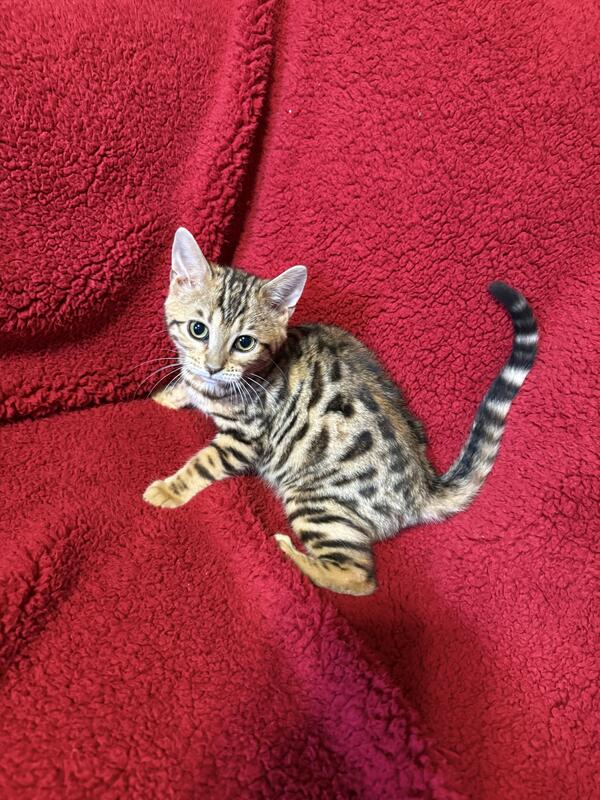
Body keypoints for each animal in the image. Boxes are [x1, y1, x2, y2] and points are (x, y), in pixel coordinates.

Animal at [143, 227, 538, 596]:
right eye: (198, 329)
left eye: (244, 343)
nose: (213, 367)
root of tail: (423, 487)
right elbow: (185, 384)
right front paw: (166, 397)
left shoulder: (246, 438)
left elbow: (203, 463)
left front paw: (168, 490)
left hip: (315, 501)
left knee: (360, 576)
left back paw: (288, 553)